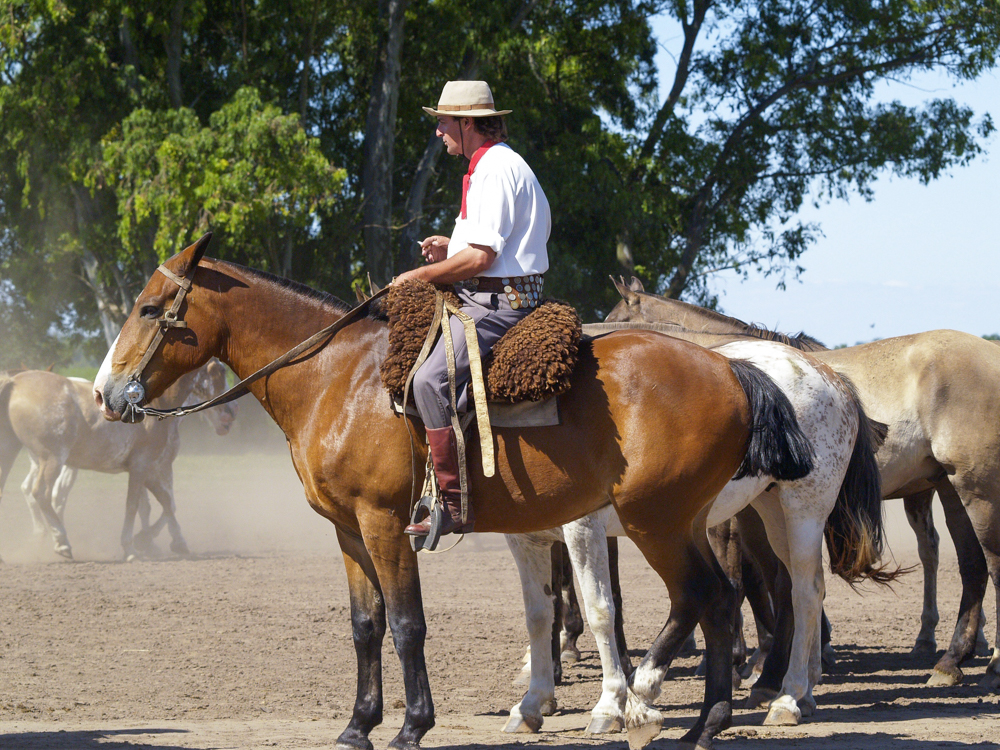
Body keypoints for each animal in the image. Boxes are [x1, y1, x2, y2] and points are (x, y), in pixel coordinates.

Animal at [0, 362, 236, 560]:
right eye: (220, 373)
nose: (230, 415)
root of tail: (15, 382)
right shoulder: (143, 466)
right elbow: (134, 505)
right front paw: (132, 547)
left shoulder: (149, 468)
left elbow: (165, 502)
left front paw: (173, 542)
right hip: (52, 459)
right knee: (42, 493)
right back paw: (61, 541)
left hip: (11, 453)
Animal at [92, 236, 812, 750]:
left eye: (150, 309)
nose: (105, 393)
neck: (339, 378)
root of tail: (732, 368)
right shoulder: (347, 530)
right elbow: (365, 626)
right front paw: (357, 726)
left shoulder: (385, 523)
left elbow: (407, 623)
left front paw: (413, 725)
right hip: (682, 521)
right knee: (719, 600)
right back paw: (703, 720)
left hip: (656, 522)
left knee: (714, 598)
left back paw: (698, 718)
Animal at [604, 280, 1000, 692]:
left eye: (615, 316)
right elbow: (765, 579)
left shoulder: (726, 519)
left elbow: (745, 580)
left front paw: (744, 660)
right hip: (948, 488)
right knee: (969, 563)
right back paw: (951, 658)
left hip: (974, 489)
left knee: (985, 560)